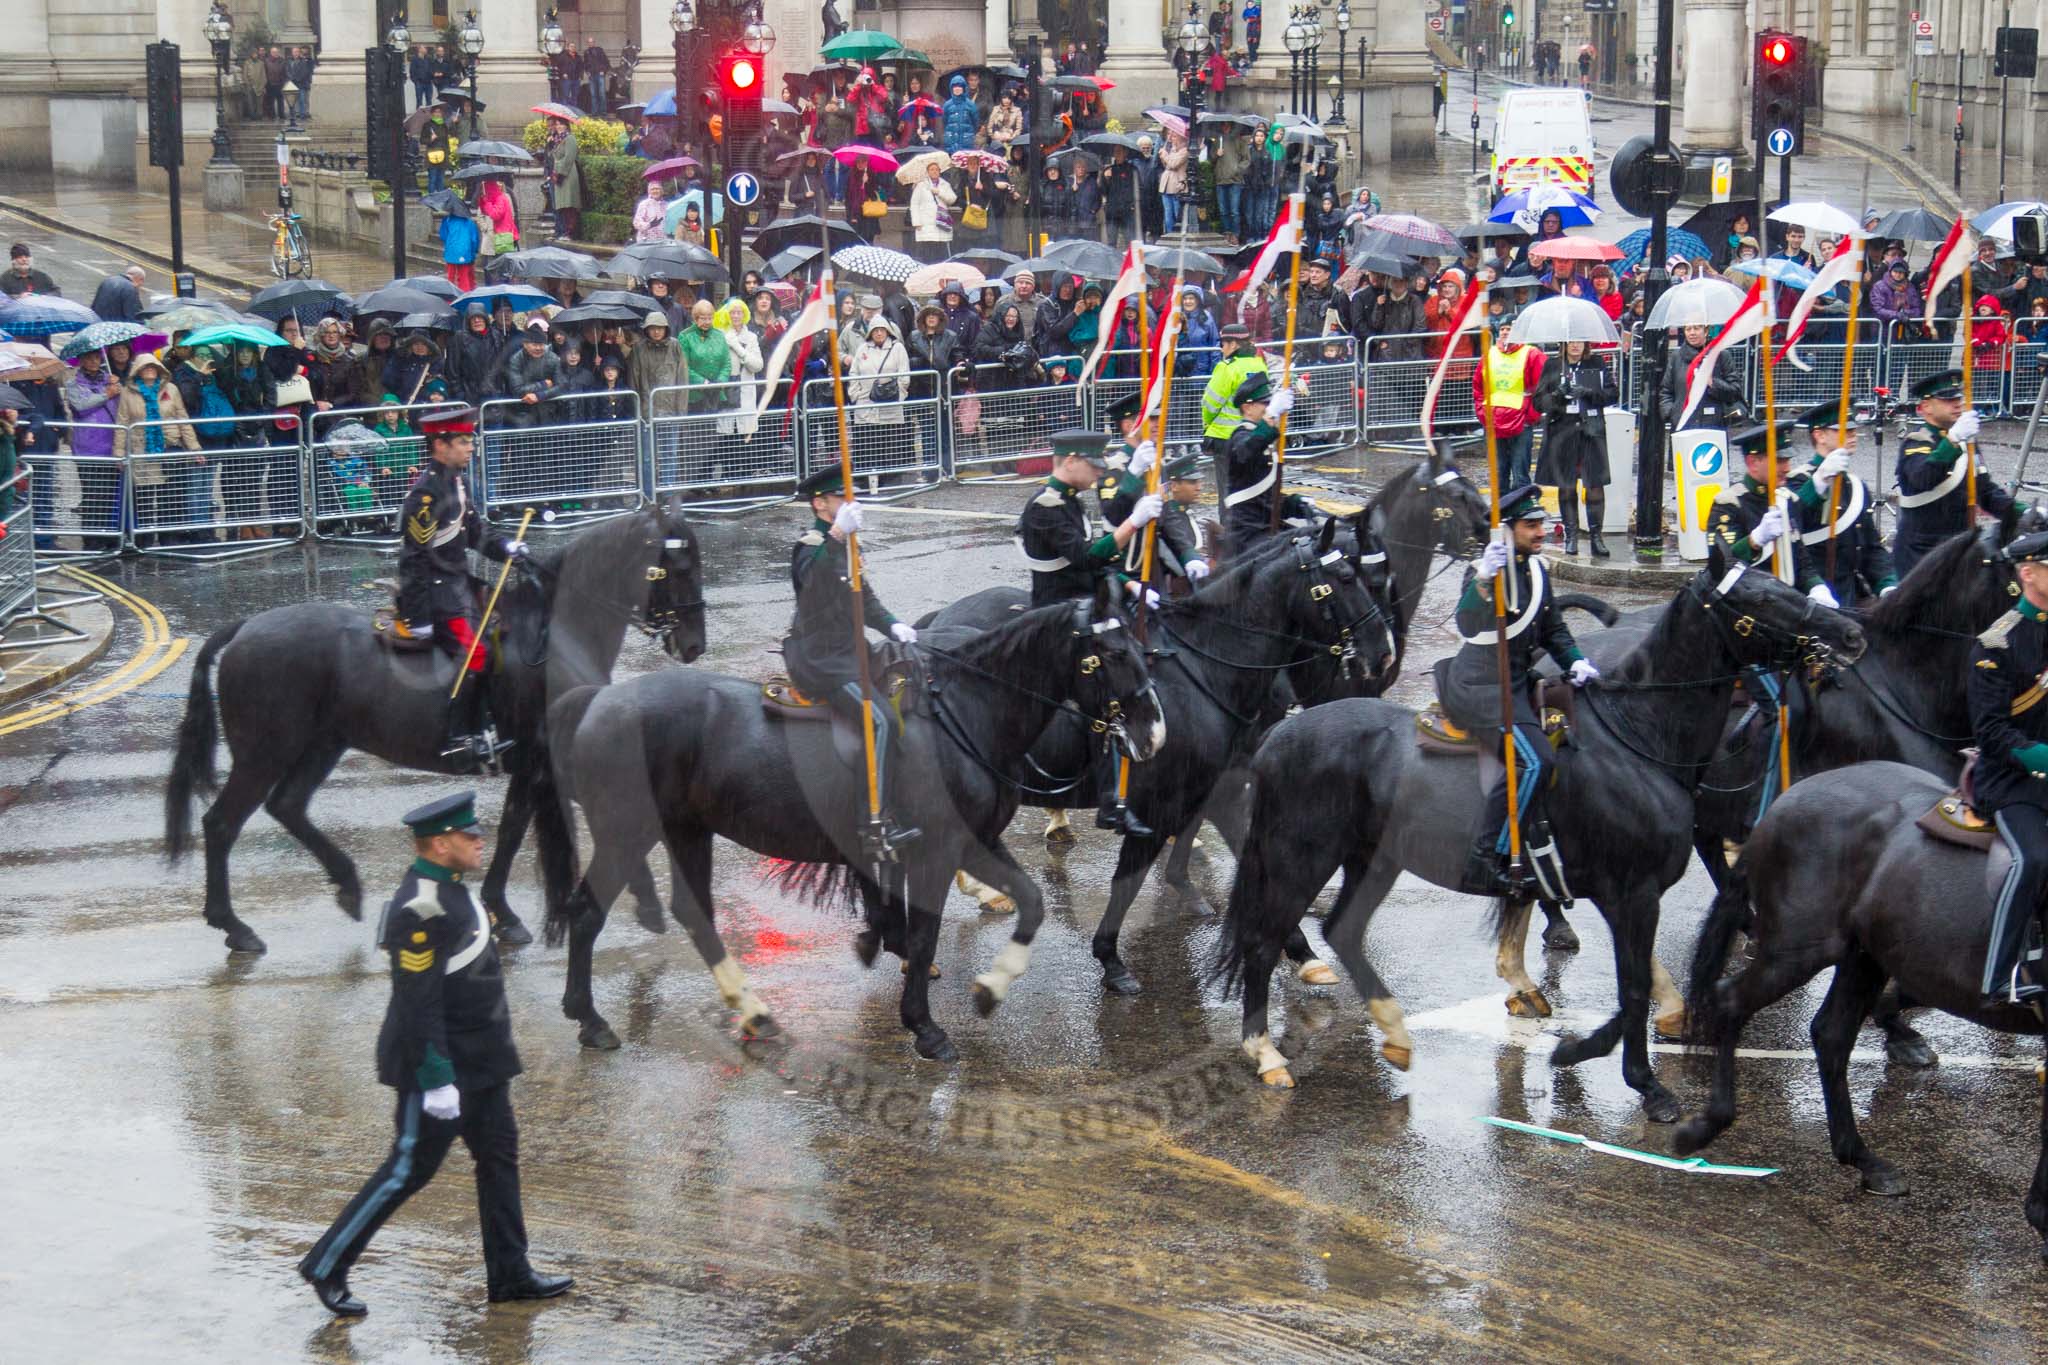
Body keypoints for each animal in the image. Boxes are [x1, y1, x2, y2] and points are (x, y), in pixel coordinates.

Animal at [161, 507, 704, 957]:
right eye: (679, 567)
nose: (695, 644)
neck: (556, 632)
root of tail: (245, 627)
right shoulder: (547, 757)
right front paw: (642, 903)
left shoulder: (533, 763)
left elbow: (512, 830)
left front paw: (502, 911)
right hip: (264, 753)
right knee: (222, 824)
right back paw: (234, 926)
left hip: (323, 744)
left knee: (288, 806)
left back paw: (347, 885)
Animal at [528, 581, 1171, 1064]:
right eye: (1113, 653)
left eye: (1141, 648)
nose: (1154, 733)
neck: (967, 715)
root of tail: (597, 702)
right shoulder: (938, 851)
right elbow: (922, 932)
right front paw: (924, 1027)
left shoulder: (977, 841)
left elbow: (1031, 901)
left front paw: (990, 987)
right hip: (625, 832)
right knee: (587, 913)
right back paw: (590, 1018)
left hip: (688, 830)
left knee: (694, 914)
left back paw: (752, 1010)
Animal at [929, 519, 1392, 994]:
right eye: (1347, 577)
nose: (1383, 653)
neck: (1206, 669)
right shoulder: (1162, 804)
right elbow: (1129, 881)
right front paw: (1111, 959)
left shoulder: (1216, 789)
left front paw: (1301, 952)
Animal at [1220, 548, 1867, 1121]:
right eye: (1759, 597)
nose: (1850, 634)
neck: (1638, 738)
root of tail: (1282, 734)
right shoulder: (1628, 891)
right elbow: (1632, 987)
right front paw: (1641, 1082)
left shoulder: (1615, 890)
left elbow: (1641, 979)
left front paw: (1601, 1042)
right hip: (1301, 857)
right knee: (1265, 941)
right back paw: (1267, 1052)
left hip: (1369, 860)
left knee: (1342, 931)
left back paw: (1395, 1033)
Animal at [1679, 765, 2048, 1252]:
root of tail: (1782, 803)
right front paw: (2041, 1214)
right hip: (1802, 950)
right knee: (1731, 1001)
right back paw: (1708, 1123)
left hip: (1864, 954)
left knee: (1831, 1035)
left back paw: (1863, 1158)